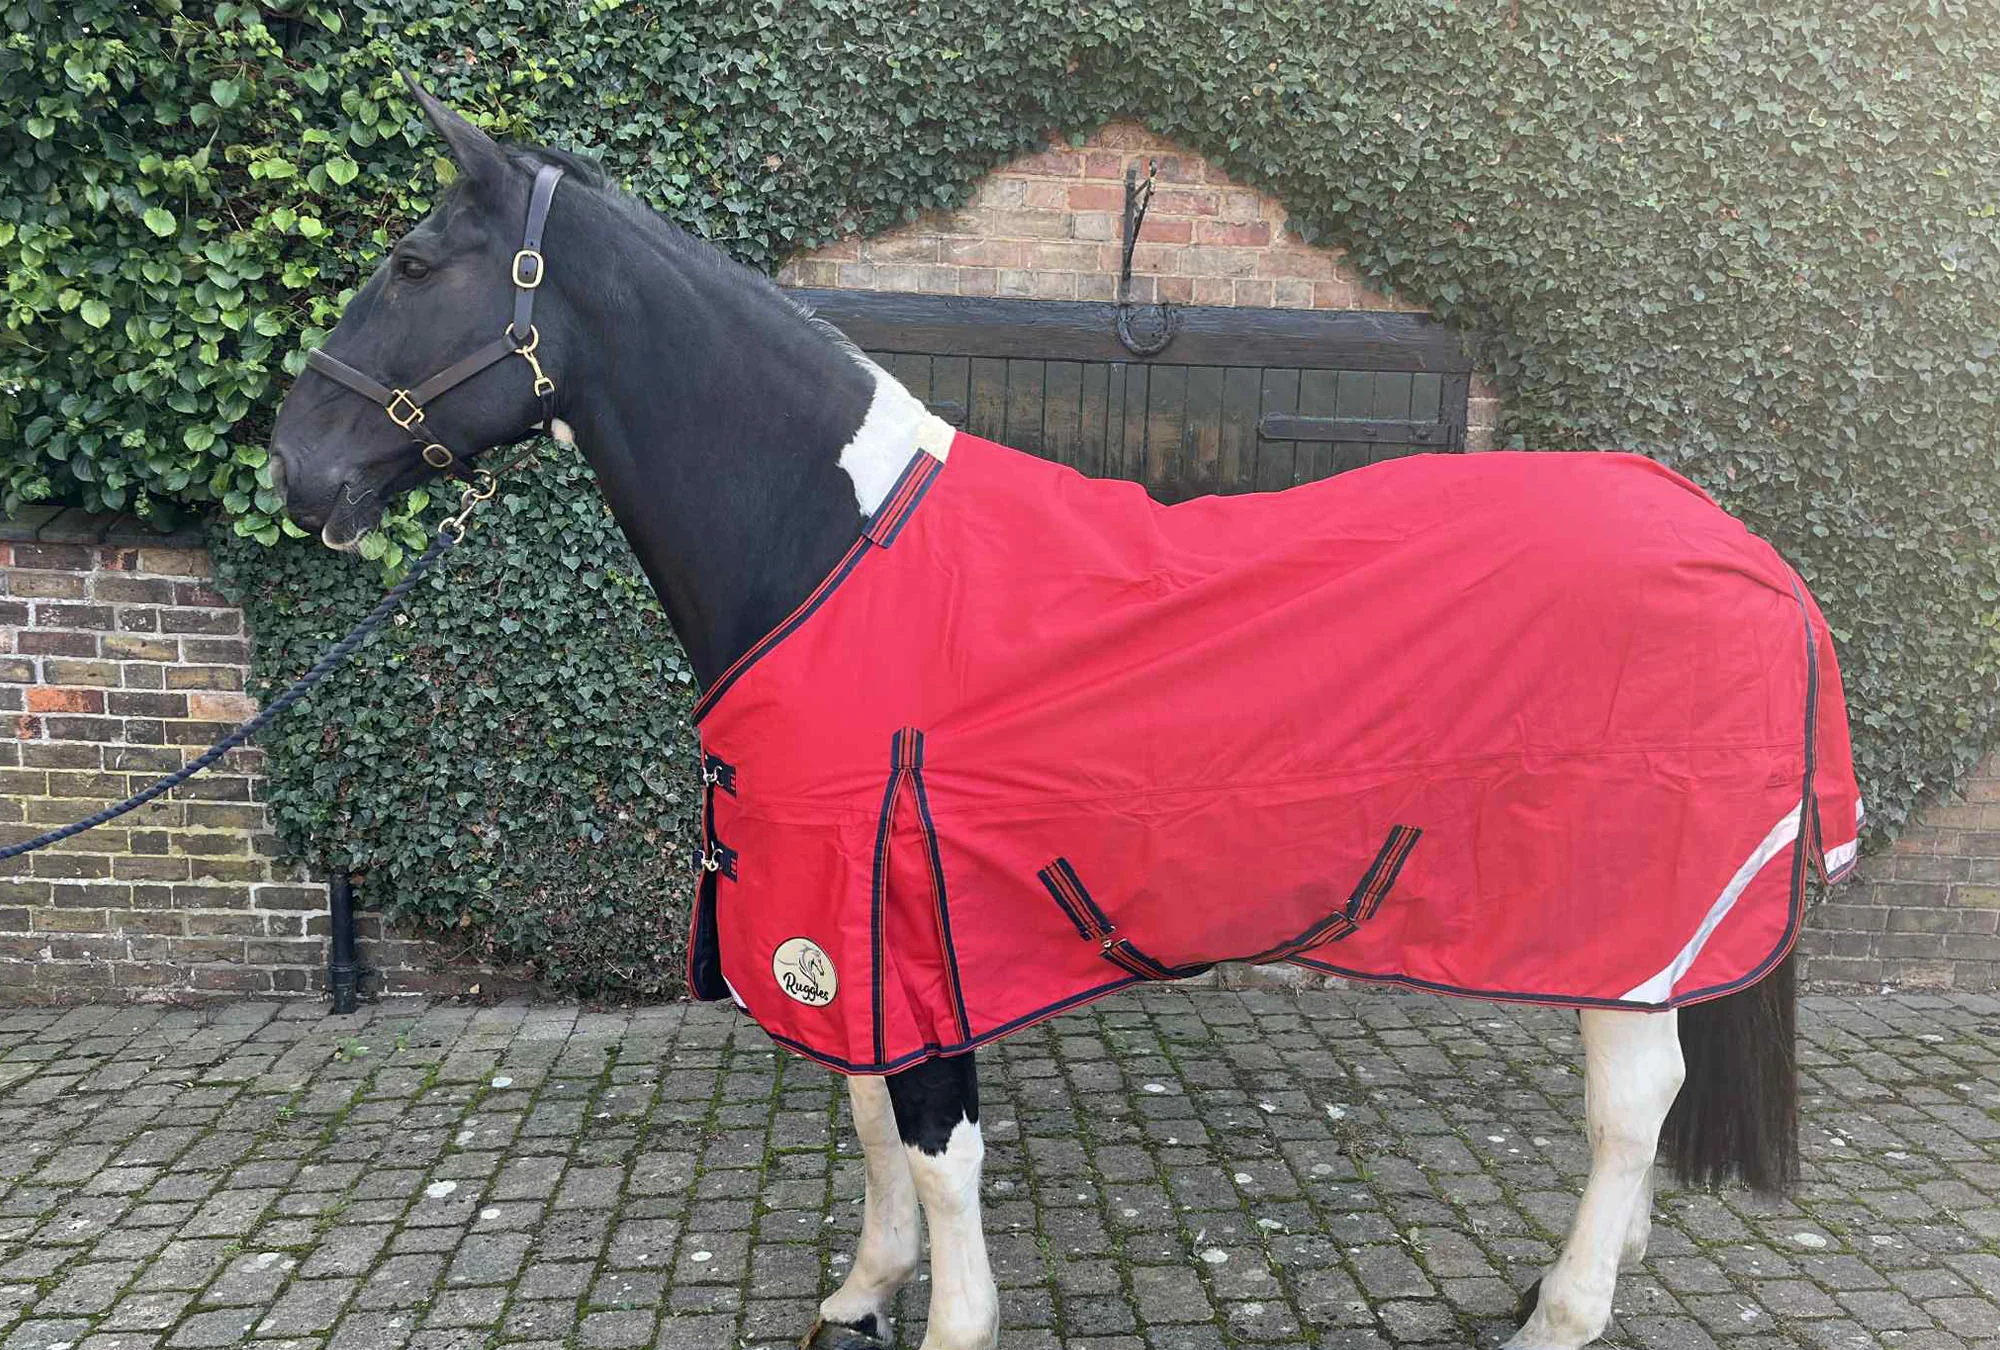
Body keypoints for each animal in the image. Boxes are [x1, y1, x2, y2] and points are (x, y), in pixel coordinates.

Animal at [271, 81, 1861, 1350]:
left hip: (1630, 902)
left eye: (413, 261)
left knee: (1629, 1099)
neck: (831, 546)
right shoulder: (849, 925)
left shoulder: (903, 902)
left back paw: (1565, 1311)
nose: (297, 469)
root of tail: (1750, 557)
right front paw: (862, 1292)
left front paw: (950, 1322)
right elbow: (868, 1117)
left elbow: (935, 1145)